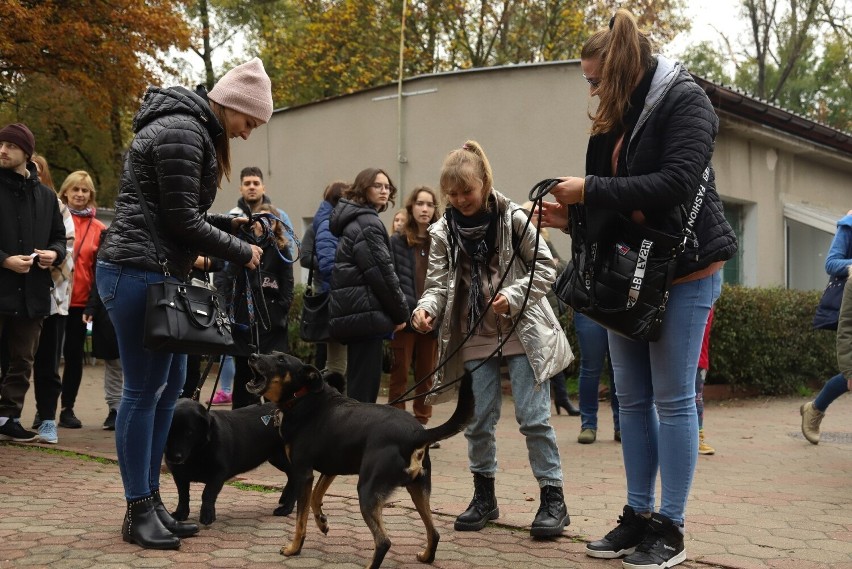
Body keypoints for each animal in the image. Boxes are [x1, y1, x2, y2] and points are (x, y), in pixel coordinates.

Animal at [164, 400, 296, 524]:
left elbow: (207, 493)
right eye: (168, 431)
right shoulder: (179, 475)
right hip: (277, 459)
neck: (197, 452)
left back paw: (286, 508)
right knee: (291, 476)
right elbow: (183, 495)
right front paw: (181, 513)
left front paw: (207, 515)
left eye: (189, 432)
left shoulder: (218, 473)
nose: (174, 457)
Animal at [246, 350, 476, 568]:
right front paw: (322, 522)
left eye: (281, 360)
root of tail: (417, 433)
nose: (253, 356)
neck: (302, 397)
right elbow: (315, 498)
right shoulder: (330, 469)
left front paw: (294, 548)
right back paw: (427, 556)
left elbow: (300, 519)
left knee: (384, 542)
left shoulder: (303, 473)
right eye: (270, 353)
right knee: (434, 532)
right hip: (418, 490)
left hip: (368, 492)